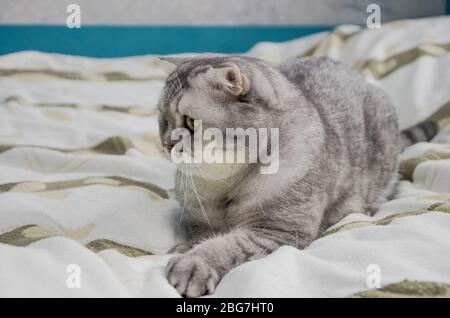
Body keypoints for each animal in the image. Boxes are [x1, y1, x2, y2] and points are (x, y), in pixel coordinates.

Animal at [156, 56, 438, 296]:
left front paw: (193, 264)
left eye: (190, 122)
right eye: (163, 120)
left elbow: (224, 246)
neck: (224, 183)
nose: (167, 144)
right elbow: (202, 236)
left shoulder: (277, 231)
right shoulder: (199, 221)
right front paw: (183, 248)